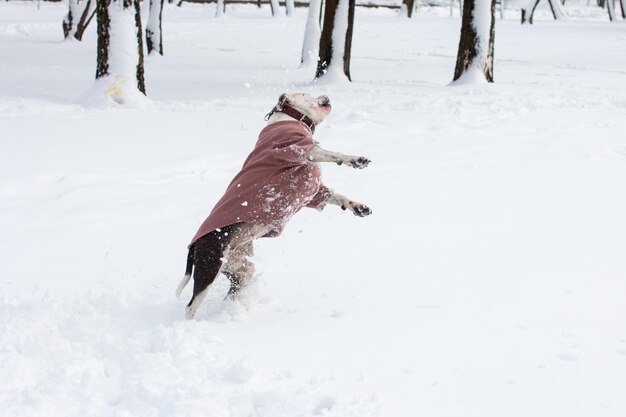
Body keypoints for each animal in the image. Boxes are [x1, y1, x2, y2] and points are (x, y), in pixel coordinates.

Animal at [176, 92, 370, 318]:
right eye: (307, 95)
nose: (326, 96)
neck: (291, 118)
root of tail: (194, 246)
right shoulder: (300, 149)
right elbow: (331, 153)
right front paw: (355, 160)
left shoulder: (315, 194)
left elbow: (337, 196)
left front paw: (357, 207)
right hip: (209, 265)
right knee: (191, 305)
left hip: (240, 268)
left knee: (235, 288)